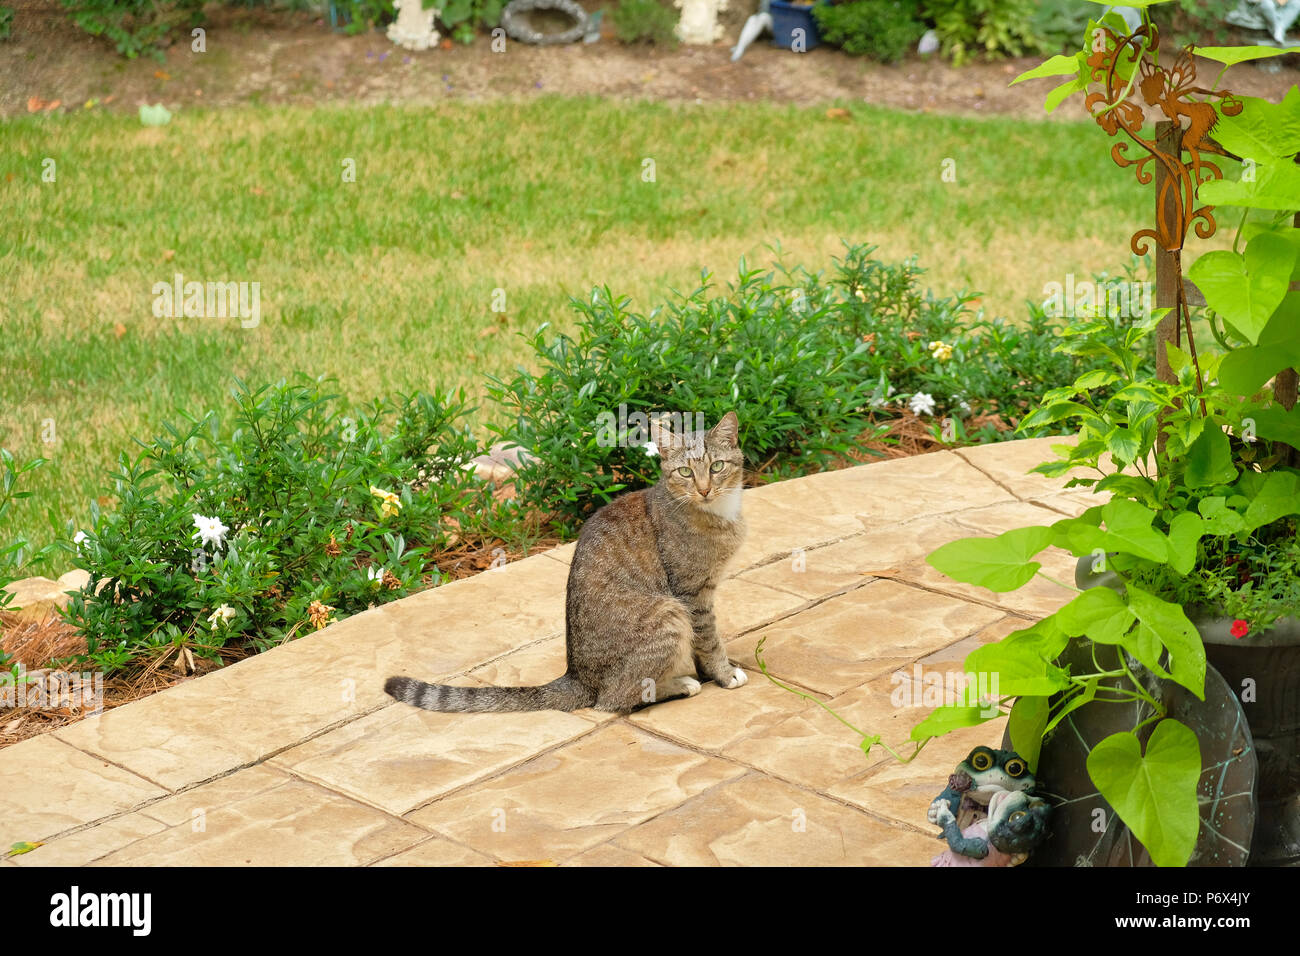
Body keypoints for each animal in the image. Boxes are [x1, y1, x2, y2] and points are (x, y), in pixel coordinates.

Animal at [384, 408, 748, 712]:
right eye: (685, 472)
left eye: (716, 467)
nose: (704, 490)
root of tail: (577, 677)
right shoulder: (691, 594)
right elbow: (709, 640)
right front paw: (724, 674)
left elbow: (702, 643)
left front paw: (710, 672)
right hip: (668, 613)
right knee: (614, 699)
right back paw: (678, 684)